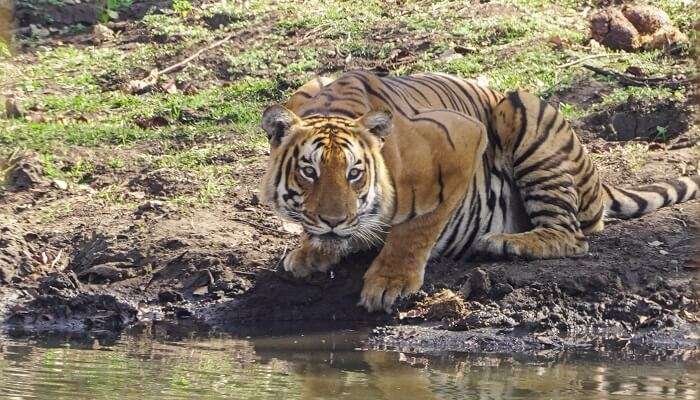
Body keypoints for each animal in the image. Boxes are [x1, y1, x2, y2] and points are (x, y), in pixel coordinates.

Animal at [258, 70, 700, 312]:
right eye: (309, 172)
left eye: (354, 174)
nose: (333, 221)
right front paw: (311, 250)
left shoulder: (462, 142)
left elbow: (416, 227)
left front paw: (390, 282)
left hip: (522, 112)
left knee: (572, 236)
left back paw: (507, 242)